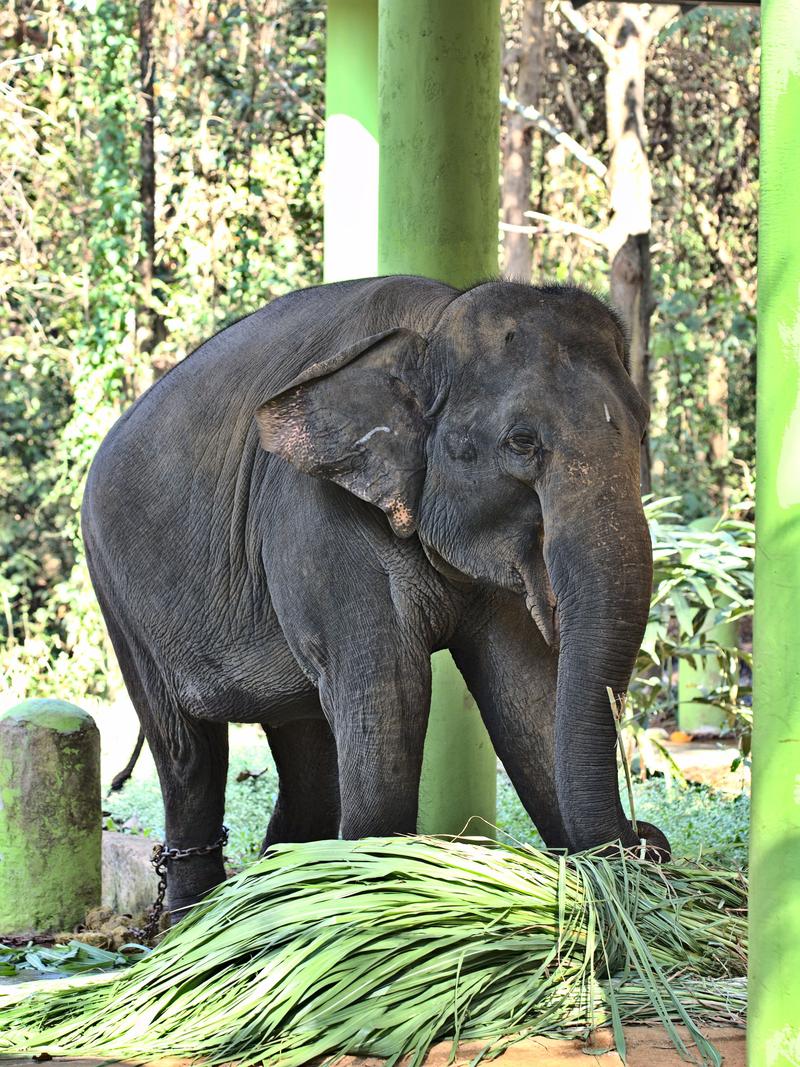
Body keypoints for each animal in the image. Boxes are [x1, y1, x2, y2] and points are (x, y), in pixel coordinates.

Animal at [83, 275, 669, 917]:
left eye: (644, 431)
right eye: (521, 441)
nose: (649, 841)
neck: (433, 324)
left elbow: (526, 690)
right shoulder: (316, 511)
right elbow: (390, 689)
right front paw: (378, 894)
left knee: (307, 752)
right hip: (117, 591)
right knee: (186, 750)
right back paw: (193, 926)